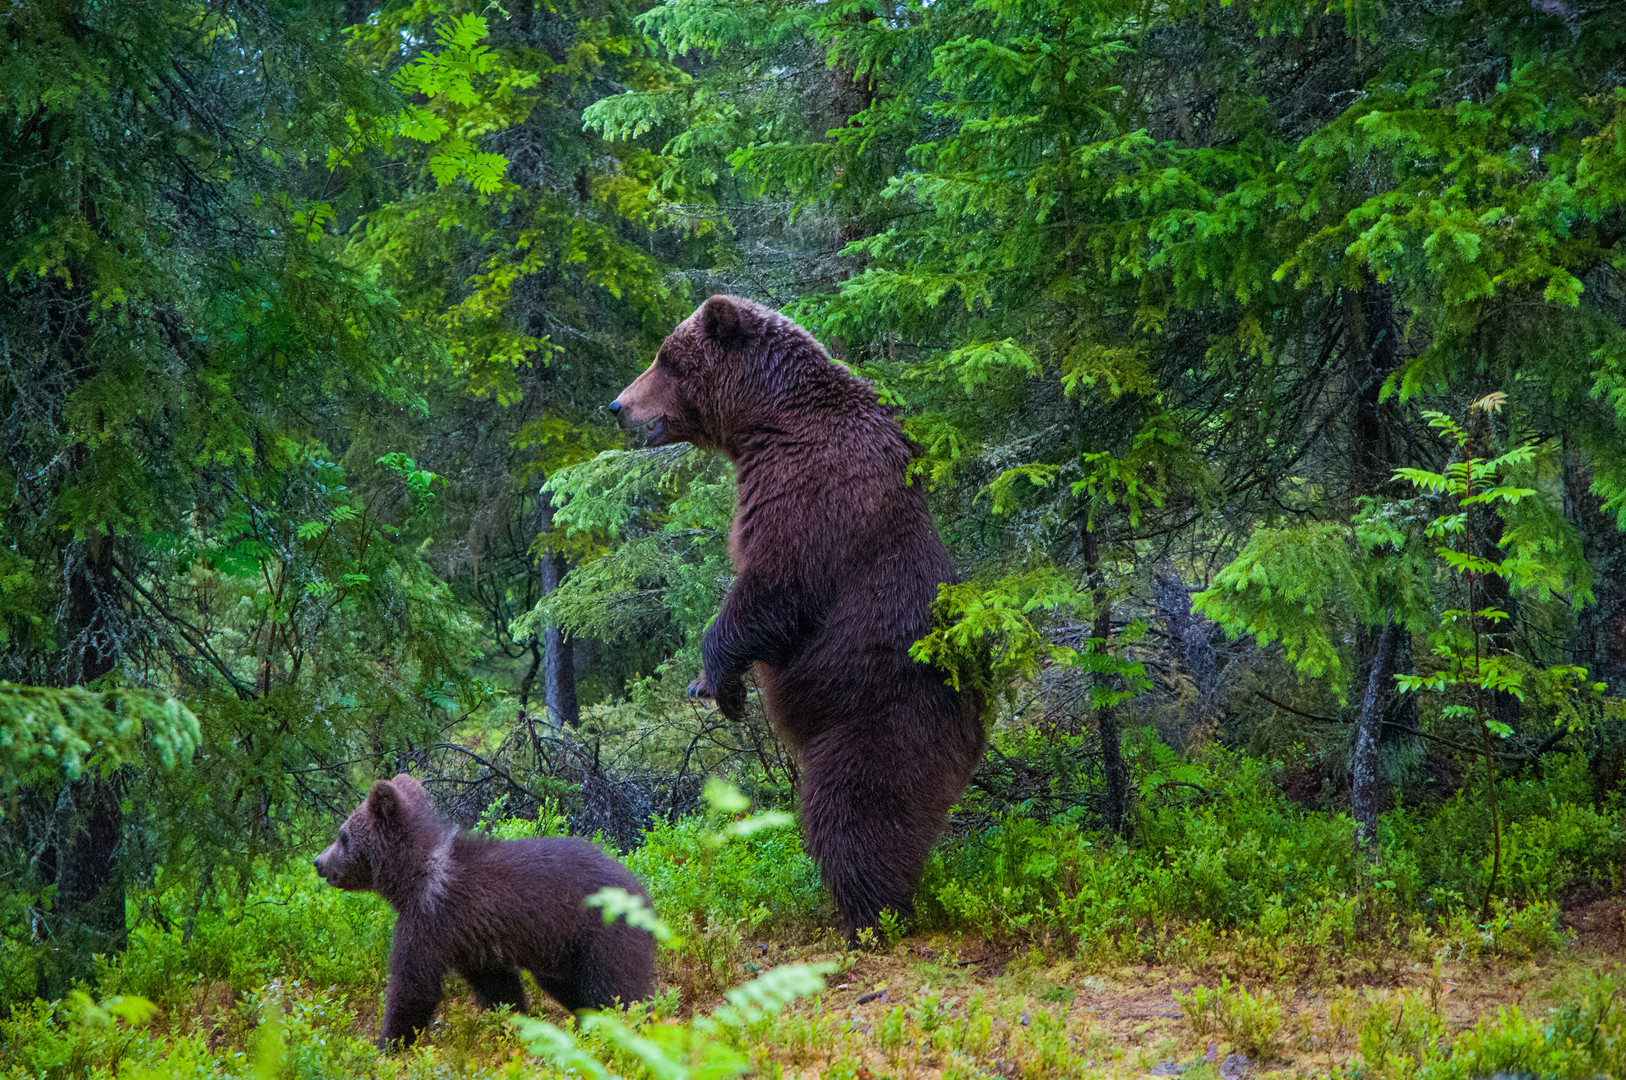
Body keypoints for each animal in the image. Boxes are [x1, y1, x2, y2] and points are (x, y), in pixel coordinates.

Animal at [313, 777, 650, 1047]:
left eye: (343, 835)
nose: (318, 862)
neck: (415, 877)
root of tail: (641, 889)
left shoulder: (430, 919)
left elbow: (413, 987)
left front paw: (387, 1044)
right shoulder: (473, 945)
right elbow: (500, 990)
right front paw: (512, 1025)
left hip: (602, 936)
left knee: (615, 990)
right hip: (562, 953)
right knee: (571, 988)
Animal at [611, 296, 982, 936]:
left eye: (664, 359)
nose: (617, 407)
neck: (768, 420)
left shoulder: (807, 488)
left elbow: (773, 589)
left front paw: (722, 684)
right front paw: (706, 684)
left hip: (876, 719)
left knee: (853, 812)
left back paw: (871, 916)